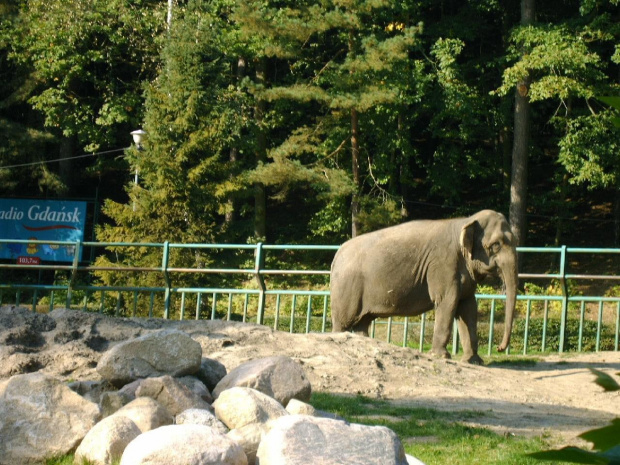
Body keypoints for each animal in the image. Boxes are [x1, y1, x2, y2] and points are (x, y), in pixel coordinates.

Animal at [330, 208, 520, 364]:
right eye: (496, 245)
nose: (499, 348)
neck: (464, 222)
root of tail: (337, 255)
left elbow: (468, 307)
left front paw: (473, 361)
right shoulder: (443, 264)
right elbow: (448, 301)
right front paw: (441, 356)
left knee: (362, 322)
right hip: (346, 289)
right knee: (343, 323)